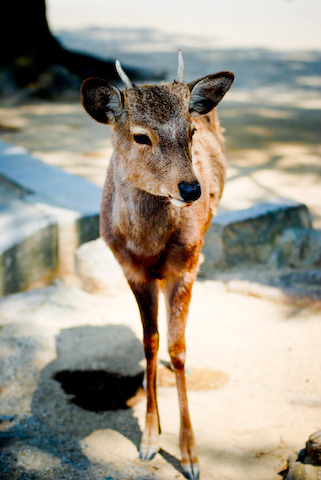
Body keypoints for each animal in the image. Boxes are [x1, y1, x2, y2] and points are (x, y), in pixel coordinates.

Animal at [81, 51, 234, 480]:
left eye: (191, 132)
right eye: (140, 136)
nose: (191, 189)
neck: (148, 248)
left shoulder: (187, 266)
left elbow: (178, 350)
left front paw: (190, 456)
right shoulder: (130, 271)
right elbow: (149, 344)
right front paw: (150, 439)